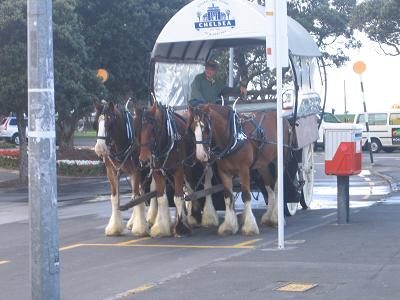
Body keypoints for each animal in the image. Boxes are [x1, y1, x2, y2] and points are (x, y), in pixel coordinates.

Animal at [188, 104, 290, 236]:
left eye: (205, 128)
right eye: (192, 128)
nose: (201, 155)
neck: (233, 137)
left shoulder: (244, 170)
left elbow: (246, 196)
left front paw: (249, 227)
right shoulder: (224, 173)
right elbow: (227, 197)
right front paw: (229, 226)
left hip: (280, 159)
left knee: (277, 187)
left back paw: (276, 218)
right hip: (263, 164)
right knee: (269, 186)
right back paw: (269, 216)